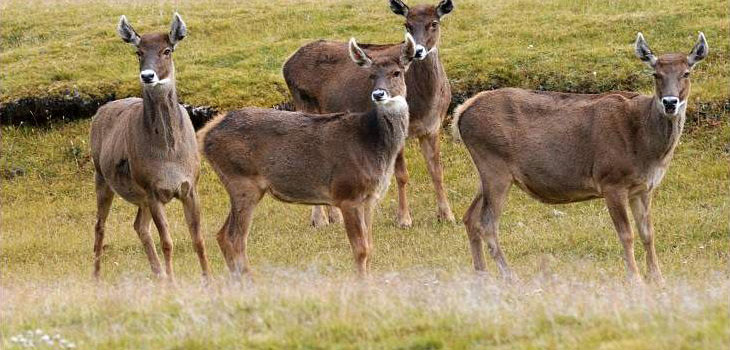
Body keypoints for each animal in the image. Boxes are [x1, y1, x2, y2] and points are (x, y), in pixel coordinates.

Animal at [89, 13, 210, 282]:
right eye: (139, 51)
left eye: (167, 50)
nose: (147, 76)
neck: (169, 156)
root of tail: (100, 110)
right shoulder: (152, 189)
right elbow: (167, 242)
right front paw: (174, 283)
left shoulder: (191, 185)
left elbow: (198, 239)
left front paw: (210, 280)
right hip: (102, 176)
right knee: (100, 225)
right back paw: (97, 278)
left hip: (139, 196)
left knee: (139, 225)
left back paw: (158, 275)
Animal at [198, 34, 416, 278]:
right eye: (370, 75)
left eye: (396, 72)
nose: (378, 94)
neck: (372, 144)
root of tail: (206, 134)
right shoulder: (346, 193)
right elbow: (360, 250)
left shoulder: (369, 199)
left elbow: (370, 247)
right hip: (242, 181)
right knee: (233, 237)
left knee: (223, 235)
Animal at [284, 0, 456, 228]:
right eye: (407, 24)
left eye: (434, 23)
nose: (418, 51)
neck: (424, 104)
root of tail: (286, 65)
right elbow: (401, 175)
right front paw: (404, 219)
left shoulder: (432, 127)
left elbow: (437, 171)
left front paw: (447, 216)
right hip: (303, 103)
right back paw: (319, 220)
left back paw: (334, 217)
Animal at [452, 32, 708, 284]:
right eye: (656, 74)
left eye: (686, 72)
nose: (670, 103)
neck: (647, 150)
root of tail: (461, 112)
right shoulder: (611, 180)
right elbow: (626, 234)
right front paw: (635, 278)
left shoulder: (643, 188)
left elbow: (648, 233)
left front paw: (657, 278)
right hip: (494, 164)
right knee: (487, 223)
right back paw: (510, 276)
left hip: (486, 171)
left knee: (469, 217)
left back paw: (482, 275)